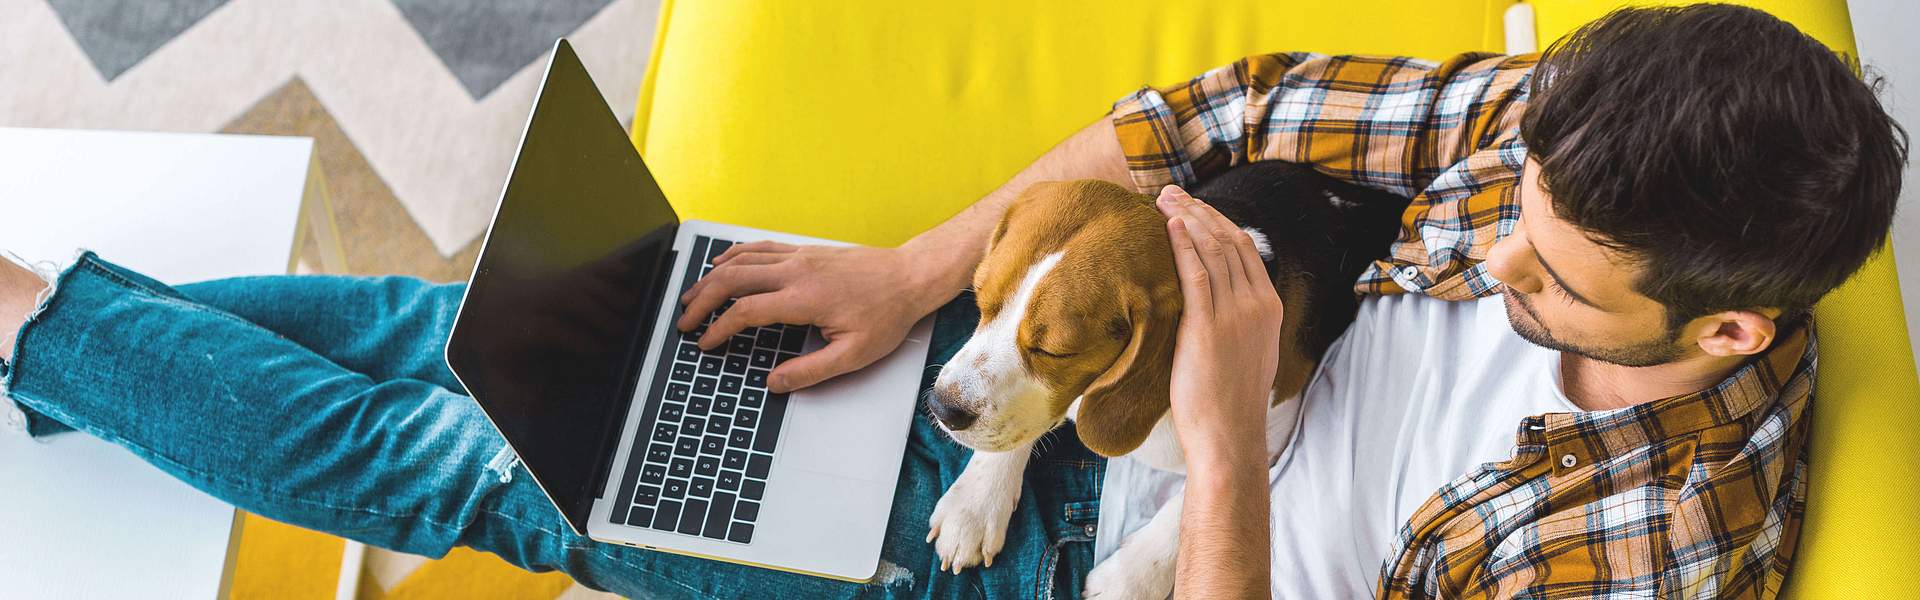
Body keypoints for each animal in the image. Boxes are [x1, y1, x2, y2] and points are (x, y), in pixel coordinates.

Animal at [921, 161, 1405, 596]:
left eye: (1055, 351)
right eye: (980, 301)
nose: (941, 407)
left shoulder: (1273, 430)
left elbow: (1189, 499)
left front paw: (1127, 579)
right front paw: (976, 502)